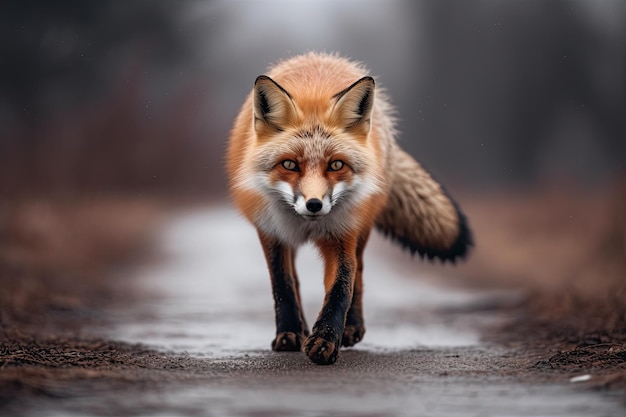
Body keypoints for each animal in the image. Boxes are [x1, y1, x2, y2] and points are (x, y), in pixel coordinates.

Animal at [227, 52, 470, 364]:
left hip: (363, 226)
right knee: (296, 280)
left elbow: (342, 285)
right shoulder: (271, 232)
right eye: (290, 164)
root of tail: (320, 56)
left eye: (336, 165)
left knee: (360, 271)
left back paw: (351, 327)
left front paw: (325, 340)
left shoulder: (342, 233)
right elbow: (282, 284)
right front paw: (290, 333)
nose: (314, 204)